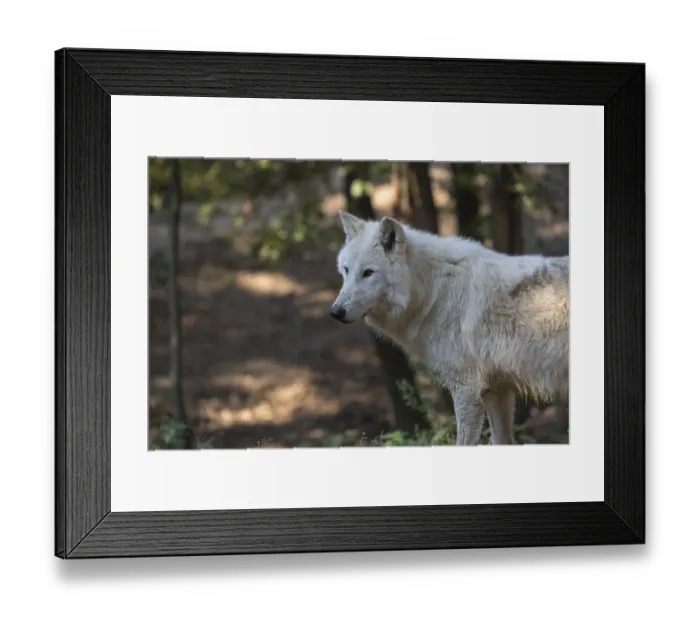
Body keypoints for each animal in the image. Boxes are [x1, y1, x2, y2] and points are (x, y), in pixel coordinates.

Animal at [329, 210, 569, 446]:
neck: (431, 292)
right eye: (346, 270)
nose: (335, 312)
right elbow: (502, 441)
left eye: (368, 273)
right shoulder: (497, 390)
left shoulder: (467, 389)